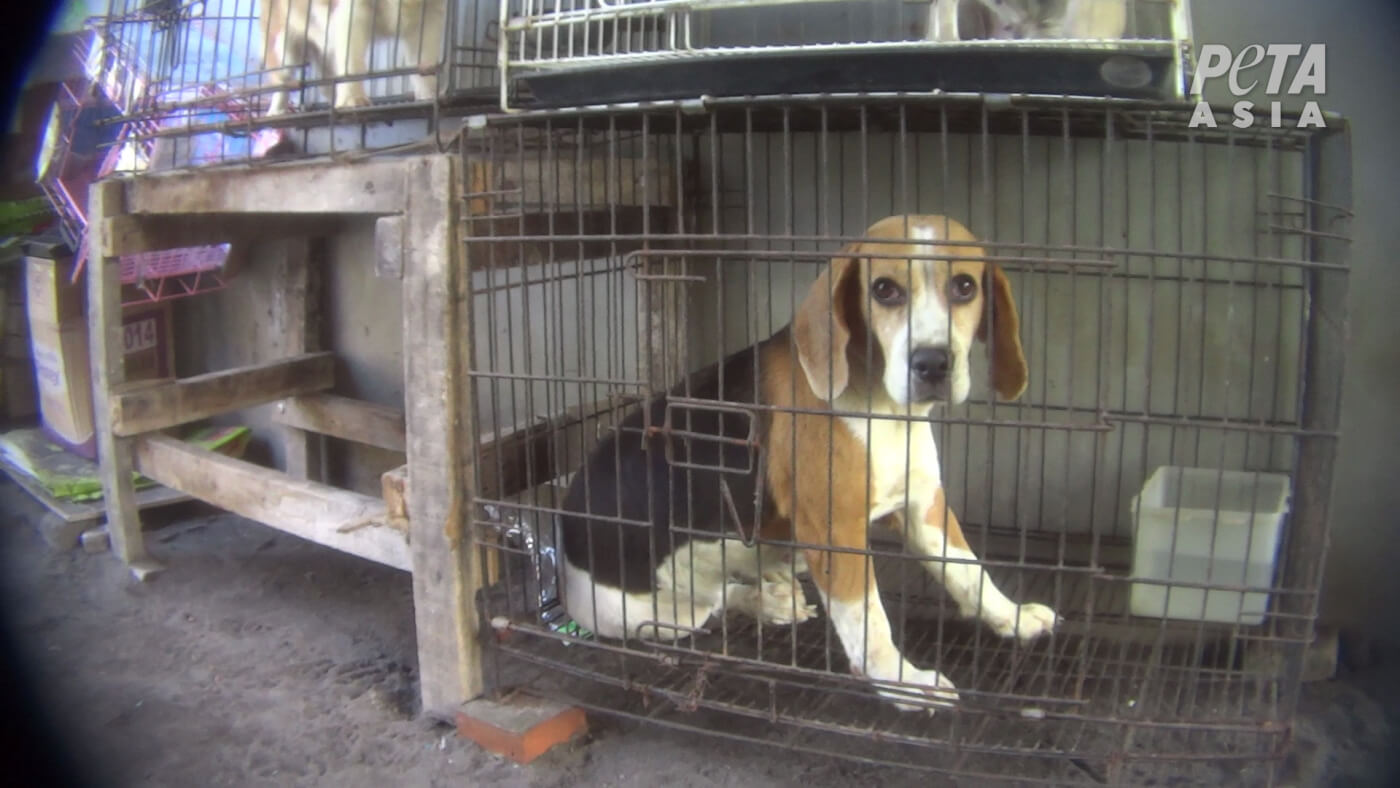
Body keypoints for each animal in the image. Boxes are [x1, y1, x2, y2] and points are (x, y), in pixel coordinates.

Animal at [256, 0, 442, 116]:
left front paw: (430, 95)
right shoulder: (351, 14)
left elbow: (425, 63)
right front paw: (352, 100)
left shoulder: (429, 15)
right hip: (283, 44)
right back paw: (277, 111)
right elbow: (352, 64)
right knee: (283, 80)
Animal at [557, 216, 1058, 716]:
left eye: (965, 286)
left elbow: (969, 572)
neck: (881, 404)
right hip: (654, 611)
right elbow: (870, 624)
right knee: (713, 602)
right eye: (884, 289)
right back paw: (765, 600)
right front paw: (902, 682)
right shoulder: (836, 533)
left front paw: (1011, 616)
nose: (932, 362)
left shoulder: (924, 506)